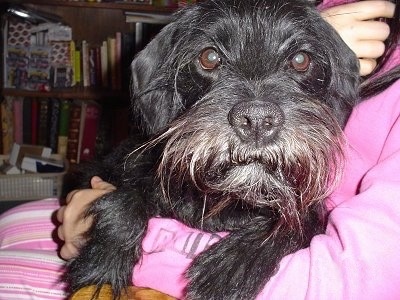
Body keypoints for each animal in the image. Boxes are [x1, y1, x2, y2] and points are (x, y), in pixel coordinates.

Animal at [67, 1, 360, 298]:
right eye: (209, 56)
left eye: (301, 60)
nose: (256, 120)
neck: (229, 197)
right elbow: (124, 200)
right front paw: (102, 264)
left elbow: (299, 220)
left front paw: (234, 267)